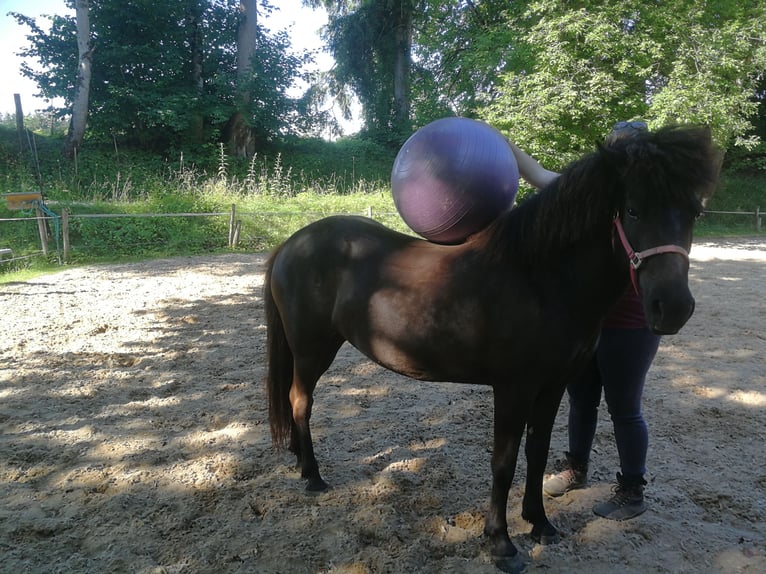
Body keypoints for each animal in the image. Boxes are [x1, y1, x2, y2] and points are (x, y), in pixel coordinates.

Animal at [263, 126, 719, 573]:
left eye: (693, 213)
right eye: (633, 210)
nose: (673, 307)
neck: (541, 280)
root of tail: (292, 243)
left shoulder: (553, 386)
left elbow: (537, 452)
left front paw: (540, 523)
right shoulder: (513, 389)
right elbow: (504, 461)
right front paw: (501, 542)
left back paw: (300, 462)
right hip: (312, 350)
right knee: (300, 401)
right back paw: (313, 476)